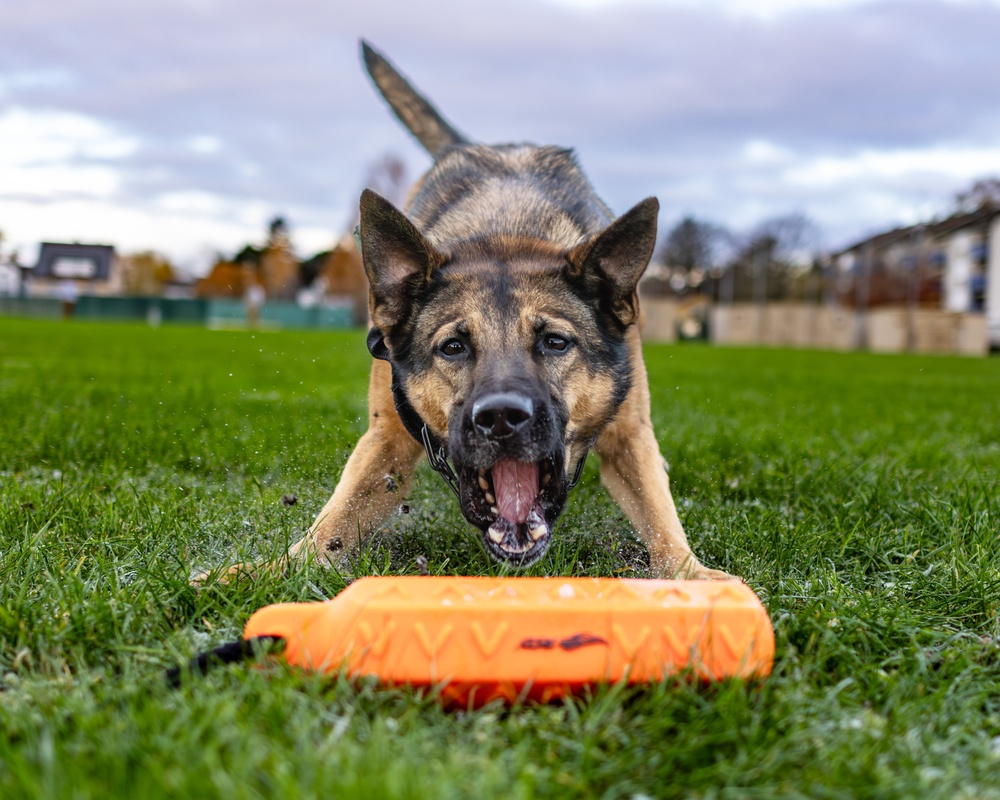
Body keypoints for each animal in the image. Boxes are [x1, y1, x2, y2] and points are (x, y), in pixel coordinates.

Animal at [219, 42, 732, 580]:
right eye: (453, 346)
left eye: (555, 342)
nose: (502, 418)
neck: (508, 227)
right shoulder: (386, 442)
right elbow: (332, 526)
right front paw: (264, 571)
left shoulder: (629, 433)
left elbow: (660, 516)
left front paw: (692, 574)